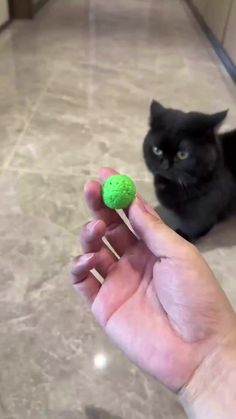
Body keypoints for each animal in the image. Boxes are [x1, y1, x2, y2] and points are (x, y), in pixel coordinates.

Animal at [143, 99, 235, 241]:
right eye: (157, 150)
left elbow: (192, 229)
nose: (165, 166)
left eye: (182, 154)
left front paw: (181, 235)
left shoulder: (203, 215)